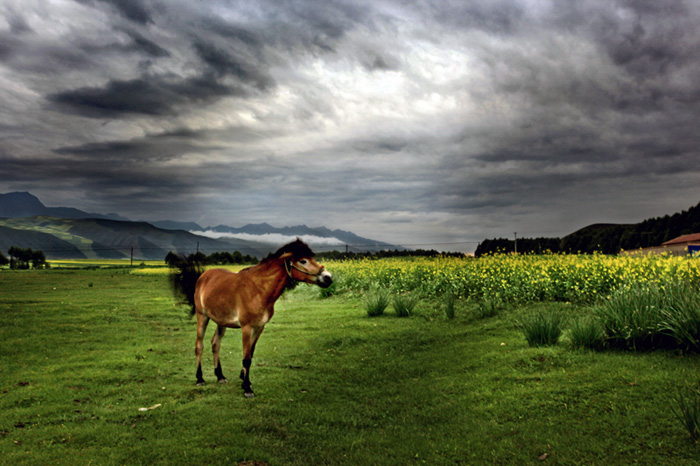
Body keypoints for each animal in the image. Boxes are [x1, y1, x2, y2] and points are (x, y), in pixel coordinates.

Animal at [171, 240, 332, 396]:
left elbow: (251, 354)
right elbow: (247, 358)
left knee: (215, 343)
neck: (258, 290)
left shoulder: (259, 327)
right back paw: (200, 379)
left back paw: (220, 376)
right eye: (303, 261)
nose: (328, 277)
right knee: (199, 346)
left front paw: (243, 380)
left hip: (221, 321)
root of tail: (203, 276)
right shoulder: (247, 328)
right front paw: (247, 388)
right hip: (202, 317)